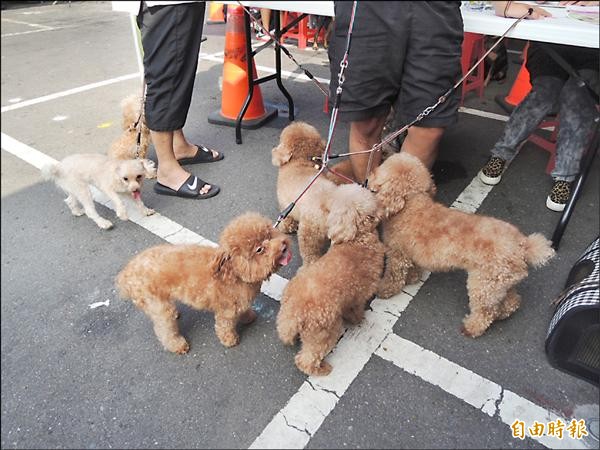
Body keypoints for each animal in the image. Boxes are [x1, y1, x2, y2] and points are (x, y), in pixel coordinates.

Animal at [116, 213, 290, 354]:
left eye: (269, 234)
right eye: (259, 249)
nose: (283, 246)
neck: (234, 274)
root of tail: (127, 274)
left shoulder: (239, 302)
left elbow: (244, 310)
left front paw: (248, 316)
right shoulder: (226, 311)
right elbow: (224, 326)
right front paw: (230, 340)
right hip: (157, 305)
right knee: (164, 329)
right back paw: (177, 345)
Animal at [276, 184, 384, 376]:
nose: (382, 206)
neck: (358, 239)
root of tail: (292, 314)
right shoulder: (358, 296)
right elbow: (355, 309)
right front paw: (358, 319)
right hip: (324, 332)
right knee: (306, 359)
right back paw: (322, 369)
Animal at [372, 152, 556, 338]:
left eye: (380, 168)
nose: (369, 175)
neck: (411, 204)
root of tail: (524, 246)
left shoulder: (397, 254)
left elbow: (393, 276)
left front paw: (384, 289)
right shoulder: (411, 252)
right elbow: (413, 267)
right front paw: (413, 278)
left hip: (483, 285)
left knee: (485, 312)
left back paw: (471, 327)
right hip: (501, 284)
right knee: (512, 300)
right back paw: (503, 312)